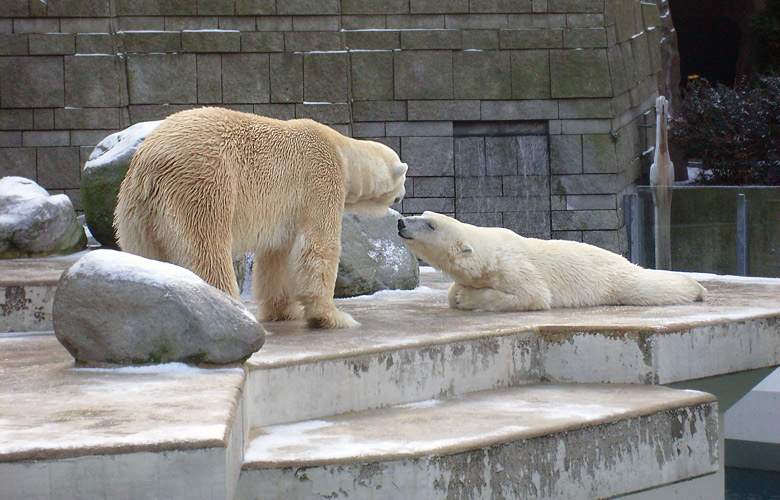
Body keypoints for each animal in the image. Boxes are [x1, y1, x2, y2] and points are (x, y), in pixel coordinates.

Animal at [117, 106, 408, 328]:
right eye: (403, 178)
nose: (403, 194)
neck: (342, 149)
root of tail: (151, 161)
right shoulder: (321, 179)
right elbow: (318, 246)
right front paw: (333, 317)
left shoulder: (285, 213)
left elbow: (277, 256)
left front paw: (284, 311)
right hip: (204, 184)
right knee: (207, 251)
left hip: (137, 212)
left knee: (146, 257)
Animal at [396, 212, 708, 312]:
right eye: (421, 215)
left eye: (431, 225)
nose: (401, 222)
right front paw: (458, 292)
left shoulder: (514, 268)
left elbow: (533, 295)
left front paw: (467, 297)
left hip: (616, 280)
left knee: (649, 287)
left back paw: (697, 289)